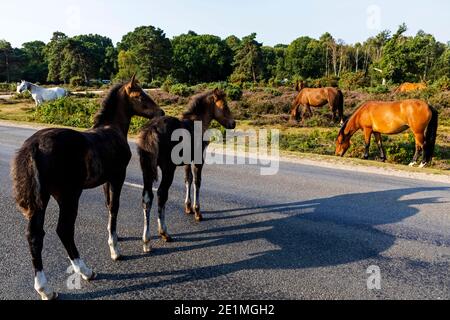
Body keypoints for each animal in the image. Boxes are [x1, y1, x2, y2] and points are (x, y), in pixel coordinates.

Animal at [10, 75, 163, 300]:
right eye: (140, 95)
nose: (161, 112)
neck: (112, 129)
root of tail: (34, 146)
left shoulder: (105, 180)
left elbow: (108, 206)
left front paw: (114, 236)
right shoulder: (118, 176)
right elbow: (114, 207)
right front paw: (115, 249)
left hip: (42, 199)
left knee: (34, 236)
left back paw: (45, 289)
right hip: (69, 195)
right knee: (64, 230)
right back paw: (85, 271)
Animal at [136, 89, 236, 254]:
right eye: (225, 105)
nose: (233, 123)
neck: (198, 123)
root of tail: (152, 130)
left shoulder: (187, 162)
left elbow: (187, 180)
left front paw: (188, 207)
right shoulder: (199, 160)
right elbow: (197, 182)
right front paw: (197, 212)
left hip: (146, 169)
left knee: (147, 197)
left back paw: (146, 241)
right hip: (168, 168)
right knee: (161, 194)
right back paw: (164, 233)